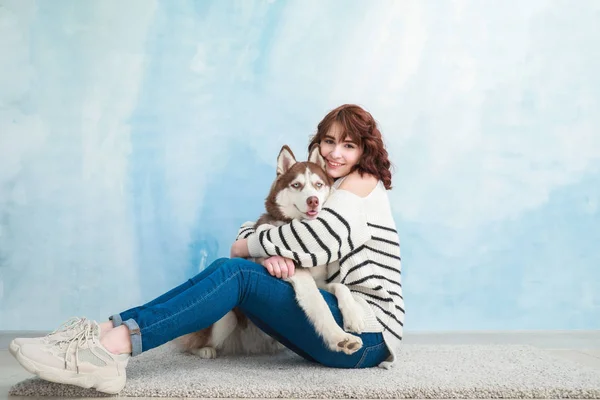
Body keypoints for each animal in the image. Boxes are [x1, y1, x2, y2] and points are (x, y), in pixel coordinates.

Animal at [177, 145, 366, 358]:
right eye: (297, 185)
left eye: (318, 184)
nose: (313, 201)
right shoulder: (299, 276)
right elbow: (320, 305)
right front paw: (340, 338)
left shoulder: (319, 281)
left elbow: (340, 286)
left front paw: (353, 315)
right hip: (227, 319)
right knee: (194, 339)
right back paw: (203, 349)